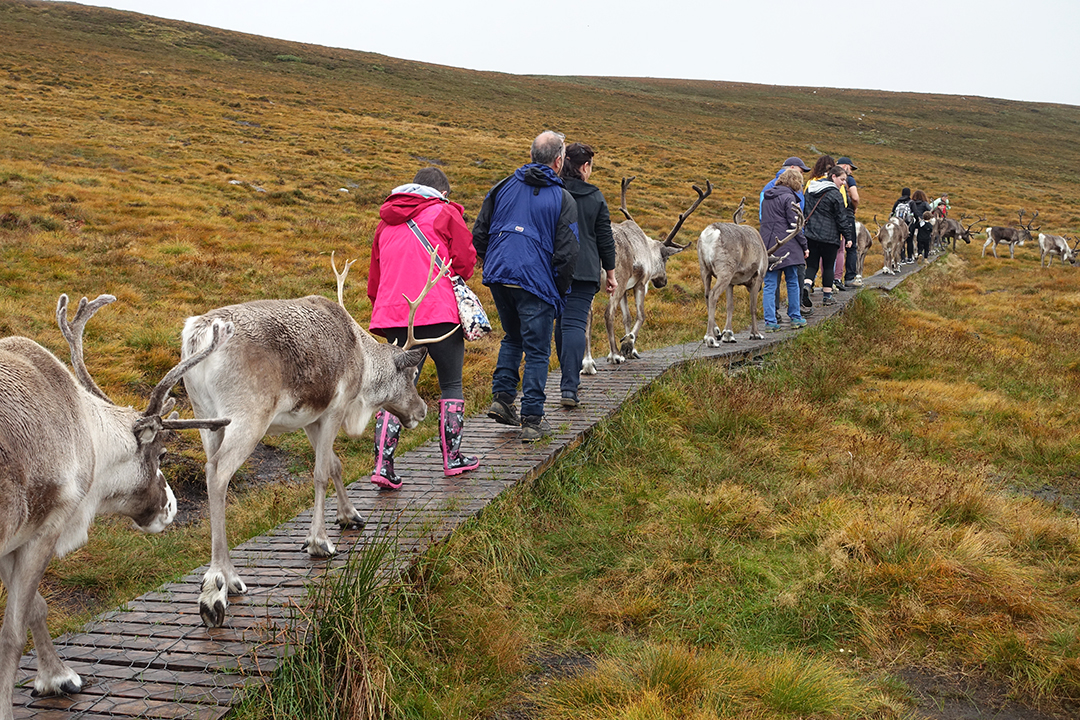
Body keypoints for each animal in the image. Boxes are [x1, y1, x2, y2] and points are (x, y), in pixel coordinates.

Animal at [0, 294, 231, 720]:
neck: (88, 435)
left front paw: (57, 677)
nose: (172, 506)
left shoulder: (17, 540)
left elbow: (36, 607)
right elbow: (13, 633)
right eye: (162, 453)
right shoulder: (47, 526)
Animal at [181, 252, 451, 628]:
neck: (363, 362)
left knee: (209, 468)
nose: (422, 410)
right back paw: (218, 587)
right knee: (219, 473)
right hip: (247, 418)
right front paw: (319, 541)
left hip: (206, 418)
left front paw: (350, 515)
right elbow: (321, 473)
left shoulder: (311, 417)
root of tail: (198, 333)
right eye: (411, 374)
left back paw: (229, 577)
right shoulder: (336, 407)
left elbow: (335, 465)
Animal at [580, 177, 711, 372]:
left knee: (588, 316)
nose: (663, 282)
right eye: (666, 259)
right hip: (617, 279)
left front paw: (627, 347)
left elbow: (626, 317)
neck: (648, 249)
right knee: (608, 313)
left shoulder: (626, 290)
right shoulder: (640, 283)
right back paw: (615, 355)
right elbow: (641, 315)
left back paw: (588, 363)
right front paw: (627, 345)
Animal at [698, 201, 805, 345]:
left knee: (706, 295)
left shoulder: (731, 283)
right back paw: (710, 338)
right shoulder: (758, 276)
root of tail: (711, 232)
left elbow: (730, 306)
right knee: (713, 294)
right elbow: (753, 307)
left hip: (705, 269)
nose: (760, 288)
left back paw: (713, 332)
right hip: (725, 270)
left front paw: (728, 334)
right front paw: (756, 334)